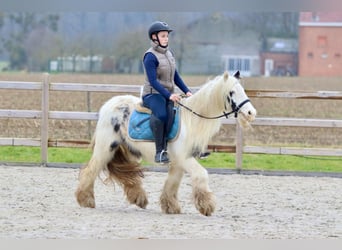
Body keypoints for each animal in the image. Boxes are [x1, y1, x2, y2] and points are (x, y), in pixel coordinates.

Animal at [75, 71, 256, 217]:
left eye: (242, 90)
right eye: (232, 92)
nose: (251, 113)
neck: (191, 121)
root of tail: (109, 105)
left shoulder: (178, 162)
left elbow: (172, 183)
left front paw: (170, 206)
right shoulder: (185, 158)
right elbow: (201, 175)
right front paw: (206, 206)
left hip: (128, 151)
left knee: (130, 178)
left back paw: (139, 198)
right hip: (105, 148)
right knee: (90, 170)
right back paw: (85, 199)